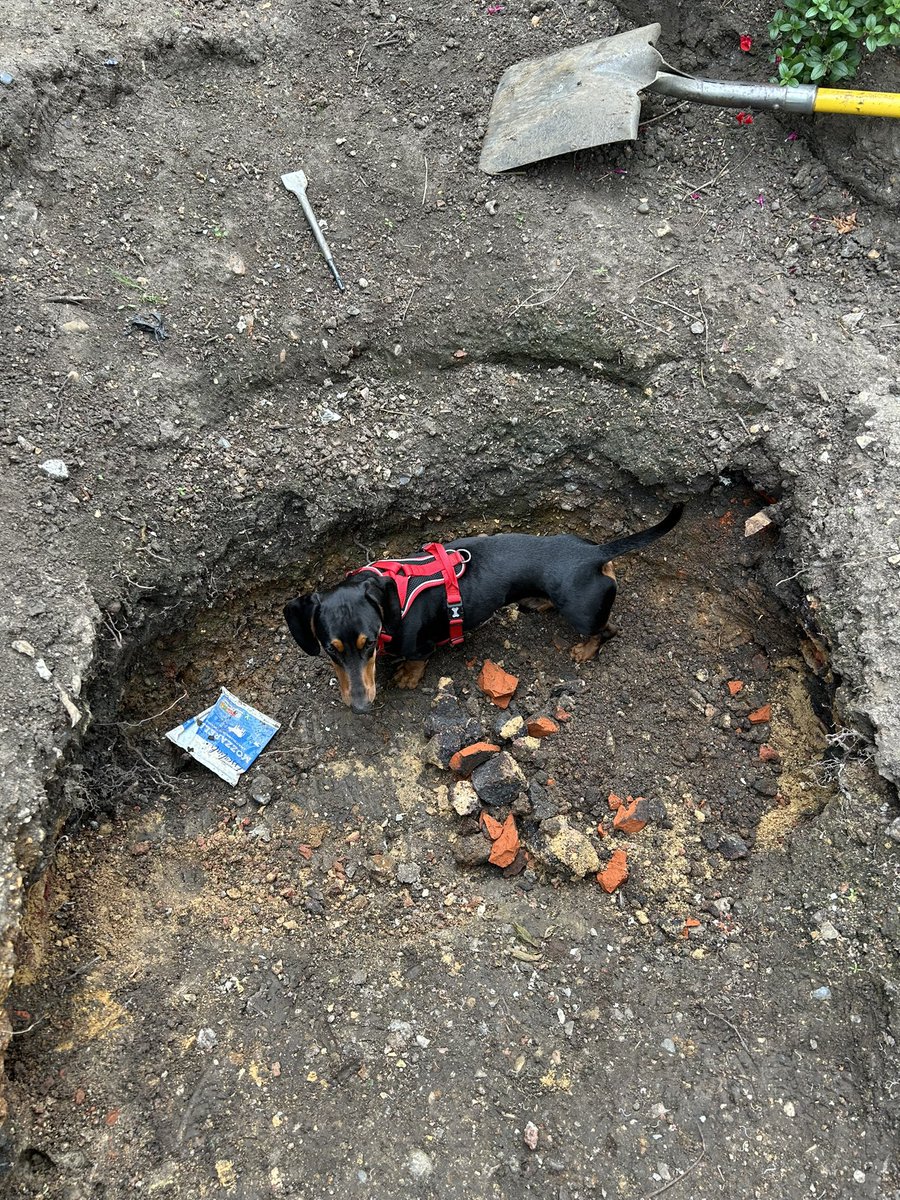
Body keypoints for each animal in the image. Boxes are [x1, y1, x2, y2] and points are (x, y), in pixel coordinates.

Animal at [286, 499, 681, 705]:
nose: (360, 707)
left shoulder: (419, 646)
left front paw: (407, 677)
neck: (392, 594)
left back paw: (584, 650)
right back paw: (540, 603)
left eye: (368, 644)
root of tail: (596, 553)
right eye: (330, 649)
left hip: (582, 612)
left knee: (606, 630)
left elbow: (416, 661)